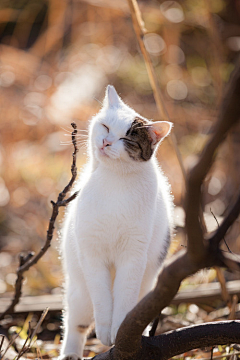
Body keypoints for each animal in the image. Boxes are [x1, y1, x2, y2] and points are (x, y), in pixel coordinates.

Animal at [59, 86, 173, 360]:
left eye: (126, 139)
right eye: (106, 127)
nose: (106, 142)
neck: (114, 180)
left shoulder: (133, 255)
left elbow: (124, 298)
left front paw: (120, 330)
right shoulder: (92, 254)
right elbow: (102, 299)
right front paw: (105, 330)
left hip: (147, 287)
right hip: (80, 293)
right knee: (75, 324)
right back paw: (70, 353)